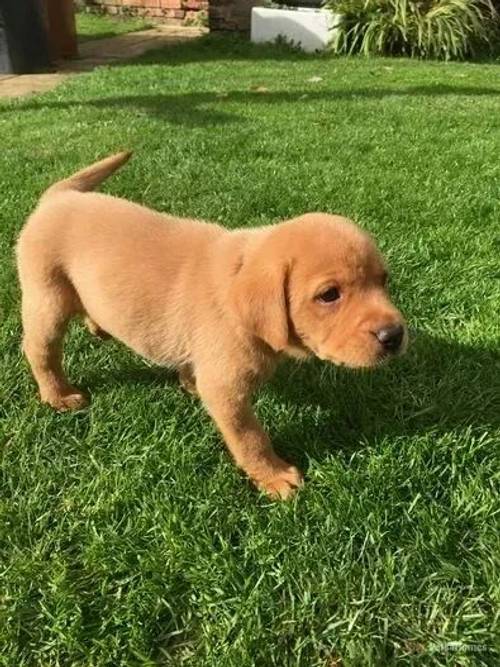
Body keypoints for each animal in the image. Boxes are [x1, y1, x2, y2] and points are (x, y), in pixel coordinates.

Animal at [16, 151, 406, 496]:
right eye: (329, 295)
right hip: (46, 298)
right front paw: (273, 476)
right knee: (40, 350)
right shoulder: (226, 390)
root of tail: (58, 197)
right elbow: (250, 437)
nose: (395, 335)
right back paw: (58, 395)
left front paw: (188, 382)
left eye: (383, 280)